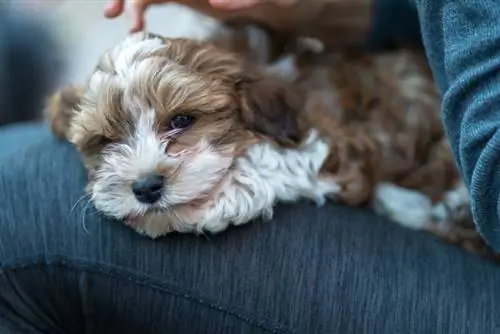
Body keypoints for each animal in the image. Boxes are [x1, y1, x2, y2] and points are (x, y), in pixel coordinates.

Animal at [46, 30, 484, 258]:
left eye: (182, 120)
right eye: (105, 140)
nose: (146, 187)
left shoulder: (338, 145)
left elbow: (274, 162)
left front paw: (217, 200)